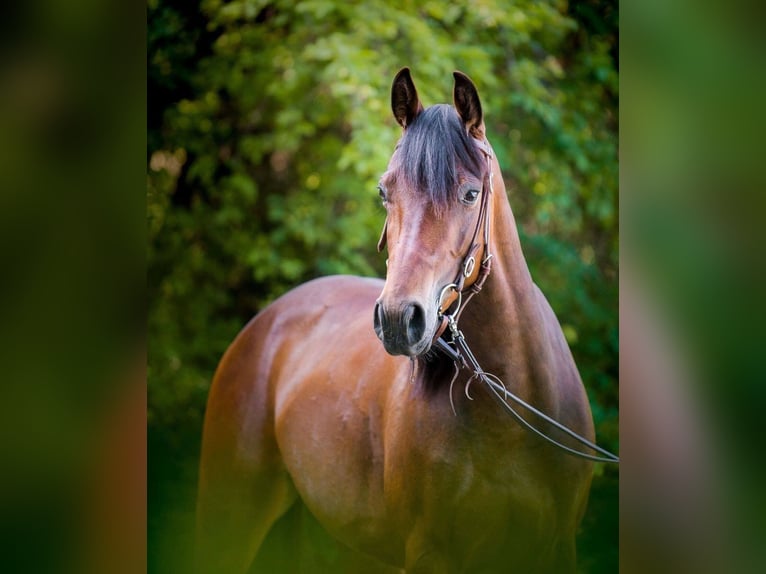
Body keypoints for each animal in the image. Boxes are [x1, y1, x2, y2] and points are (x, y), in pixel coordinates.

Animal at [196, 68, 600, 574]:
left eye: (471, 193)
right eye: (384, 191)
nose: (396, 319)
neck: (510, 412)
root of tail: (266, 321)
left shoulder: (557, 547)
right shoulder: (431, 553)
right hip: (232, 515)